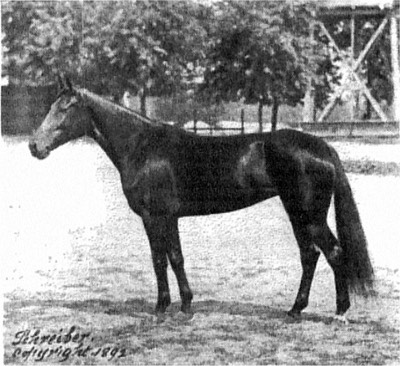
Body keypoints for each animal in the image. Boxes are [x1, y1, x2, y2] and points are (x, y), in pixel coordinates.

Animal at [28, 76, 376, 320]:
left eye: (65, 107)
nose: (34, 146)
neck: (141, 146)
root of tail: (324, 147)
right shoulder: (169, 217)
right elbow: (175, 258)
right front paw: (185, 305)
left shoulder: (155, 217)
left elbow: (161, 259)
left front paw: (162, 307)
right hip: (297, 213)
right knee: (310, 255)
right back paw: (295, 309)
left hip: (310, 215)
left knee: (333, 252)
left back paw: (340, 311)